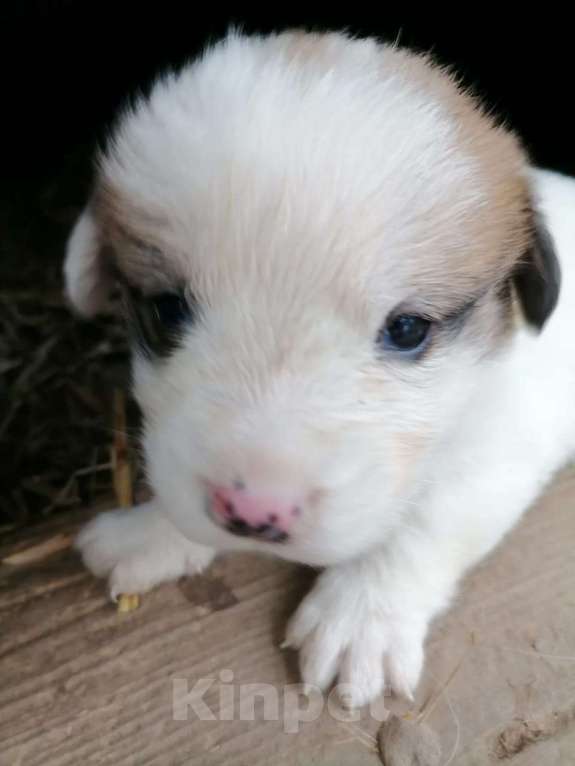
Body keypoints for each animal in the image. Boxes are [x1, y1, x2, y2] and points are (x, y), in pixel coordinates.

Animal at [63, 31, 575, 712]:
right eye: (167, 310)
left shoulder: (499, 444)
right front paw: (152, 532)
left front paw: (362, 616)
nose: (253, 512)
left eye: (407, 330)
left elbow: (426, 522)